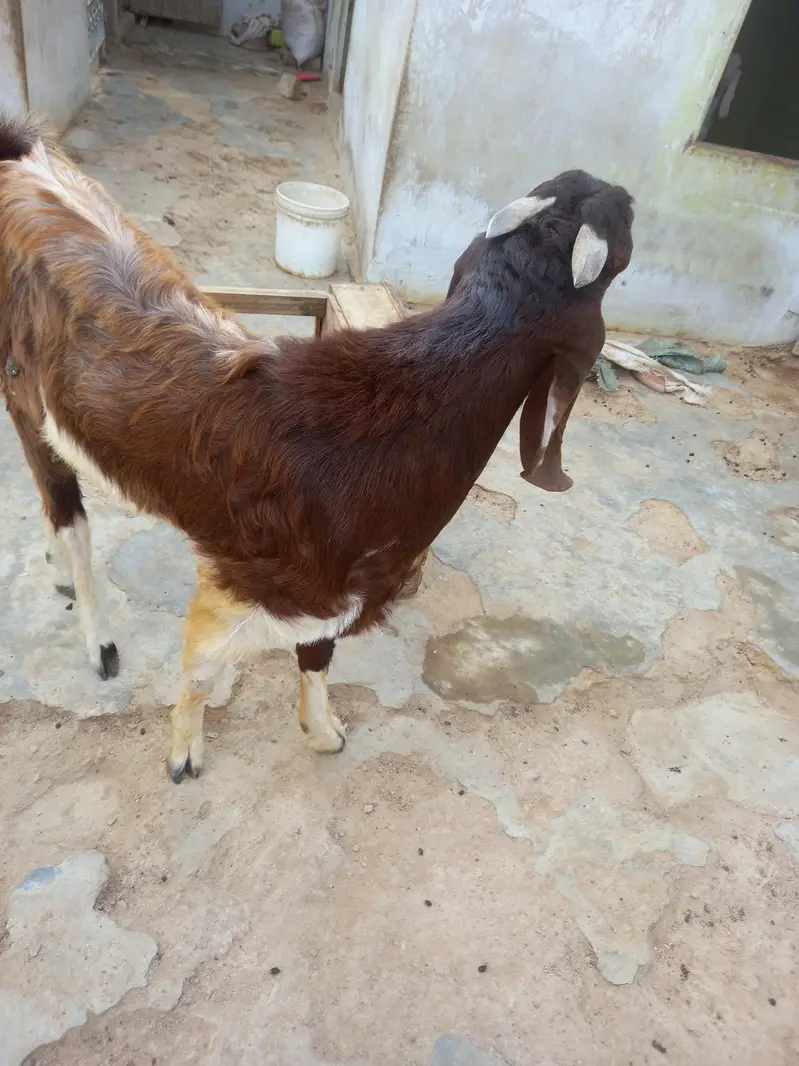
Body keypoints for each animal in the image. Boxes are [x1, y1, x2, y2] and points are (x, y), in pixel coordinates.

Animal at [0, 111, 633, 781]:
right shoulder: (246, 582)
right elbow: (201, 669)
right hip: (24, 396)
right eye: (619, 234)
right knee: (67, 513)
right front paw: (183, 755)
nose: (614, 187)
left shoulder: (336, 589)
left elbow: (317, 655)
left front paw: (323, 731)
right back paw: (98, 640)